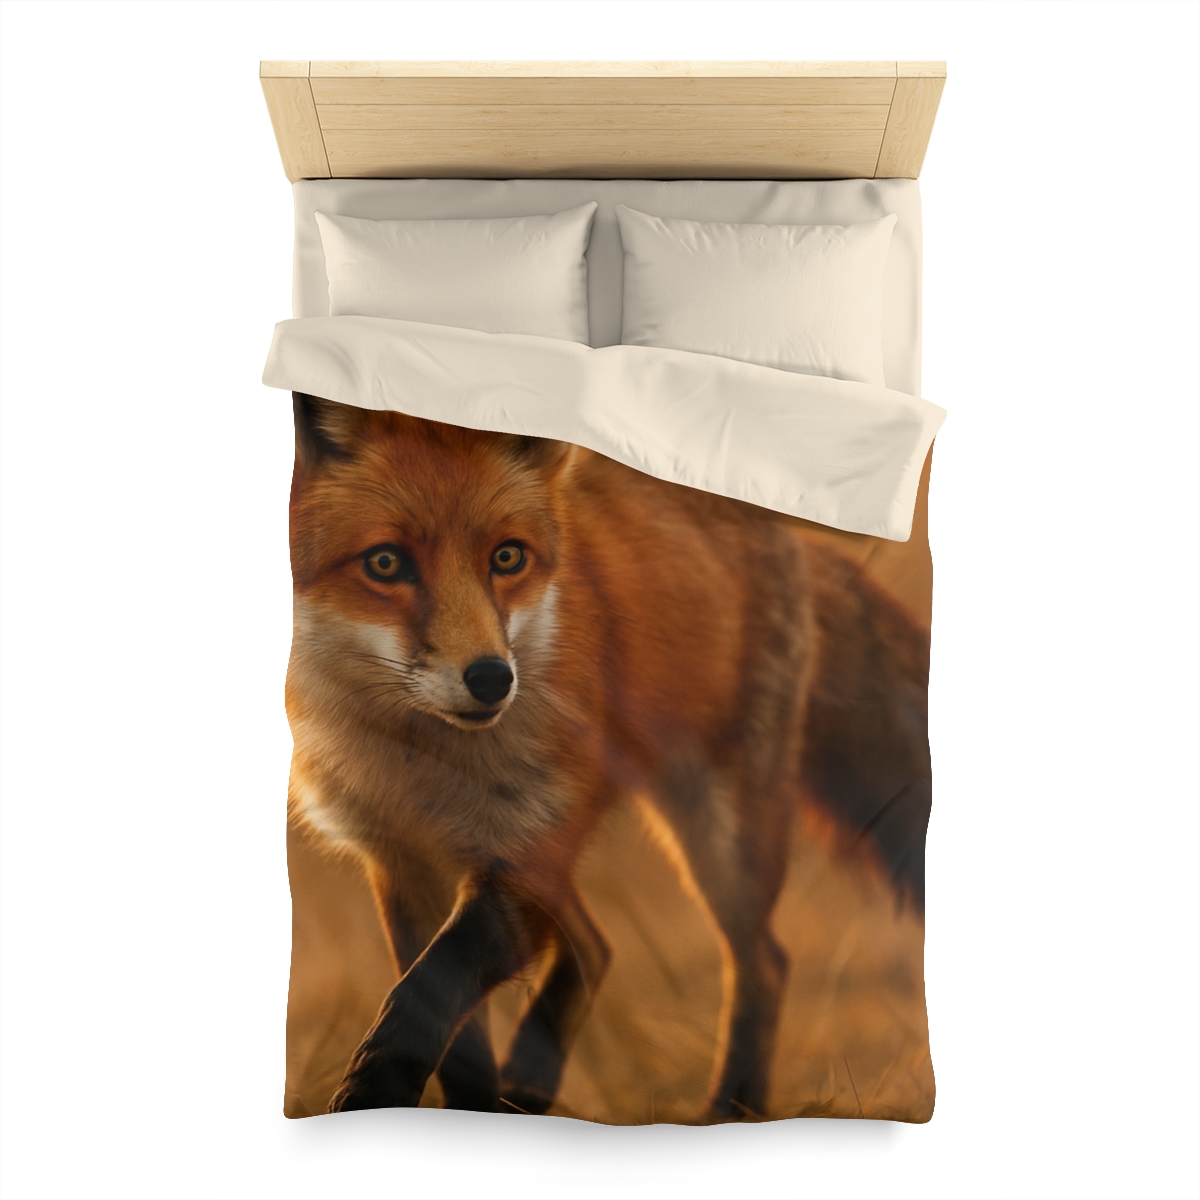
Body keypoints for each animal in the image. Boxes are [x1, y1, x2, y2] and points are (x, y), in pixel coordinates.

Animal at [286, 392, 931, 1120]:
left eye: (507, 558)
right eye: (385, 564)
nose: (492, 679)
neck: (423, 762)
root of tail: (789, 528)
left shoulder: (522, 858)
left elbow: (426, 994)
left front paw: (369, 1097)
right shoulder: (404, 863)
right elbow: (441, 1020)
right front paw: (470, 1110)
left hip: (717, 837)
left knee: (761, 959)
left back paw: (728, 1109)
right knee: (597, 946)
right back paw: (532, 1083)